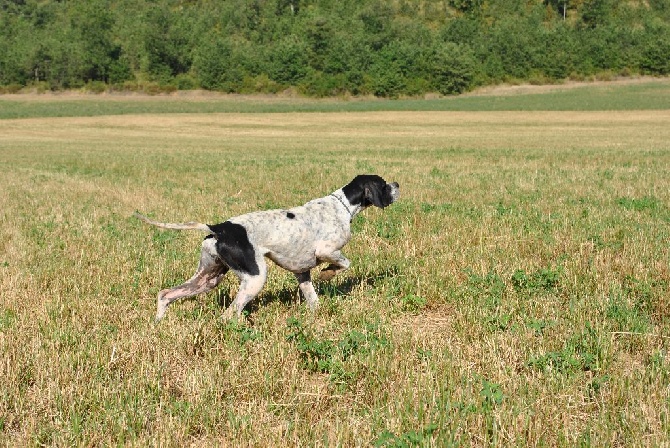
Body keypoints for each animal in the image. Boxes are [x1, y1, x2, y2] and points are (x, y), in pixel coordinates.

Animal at [134, 175, 402, 322]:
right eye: (383, 184)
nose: (397, 184)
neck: (342, 206)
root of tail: (220, 228)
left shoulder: (302, 273)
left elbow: (313, 299)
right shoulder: (326, 251)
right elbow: (344, 263)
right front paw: (328, 273)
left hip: (208, 278)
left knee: (165, 294)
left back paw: (158, 322)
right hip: (255, 278)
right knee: (229, 314)